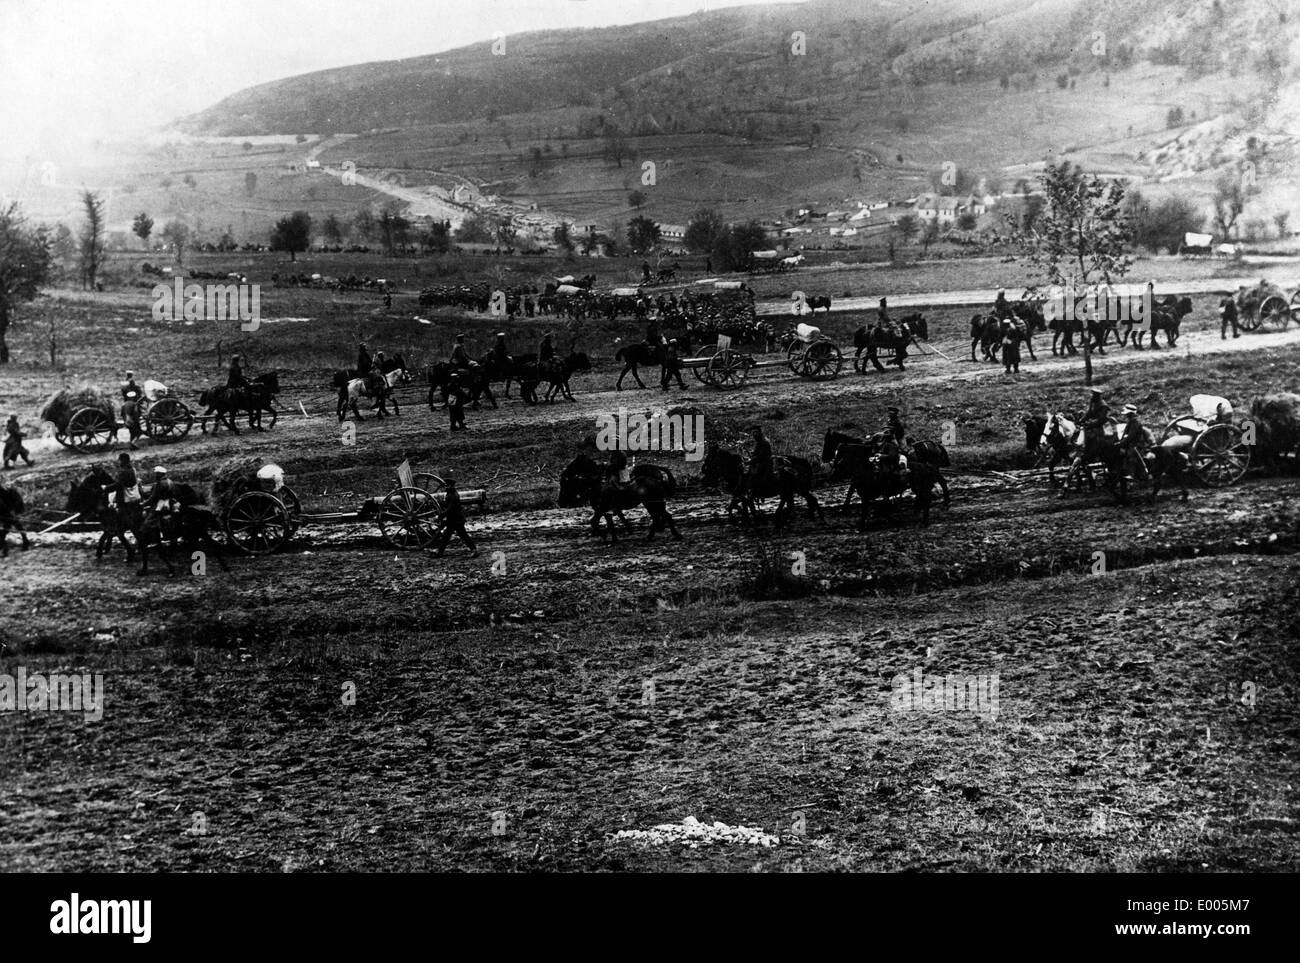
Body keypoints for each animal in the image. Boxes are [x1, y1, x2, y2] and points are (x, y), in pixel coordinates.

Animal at [67, 470, 228, 574]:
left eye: (74, 492)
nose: (69, 508)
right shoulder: (119, 524)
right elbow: (109, 536)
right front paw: (107, 551)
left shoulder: (119, 524)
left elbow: (112, 536)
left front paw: (124, 554)